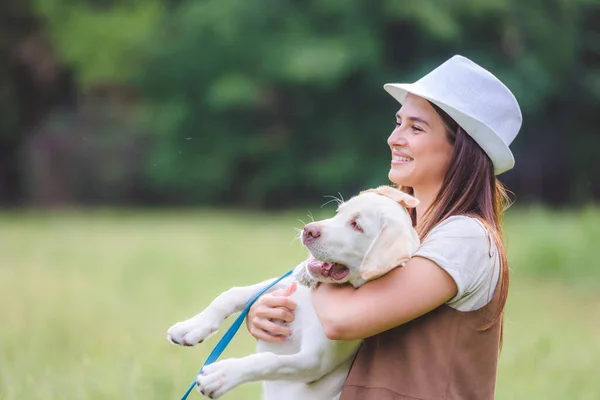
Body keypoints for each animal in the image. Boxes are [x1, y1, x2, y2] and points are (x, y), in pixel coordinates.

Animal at [166, 186, 420, 398]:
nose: (308, 230)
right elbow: (231, 294)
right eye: (339, 212)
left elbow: (269, 361)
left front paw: (222, 376)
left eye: (357, 226)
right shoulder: (287, 286)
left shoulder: (315, 360)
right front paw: (190, 327)